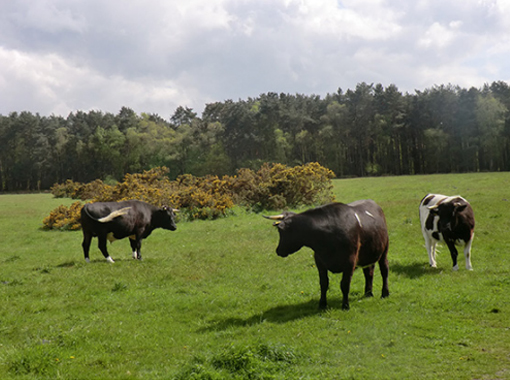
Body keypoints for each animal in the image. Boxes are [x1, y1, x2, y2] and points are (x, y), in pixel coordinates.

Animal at [262, 200, 390, 310]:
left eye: (281, 231)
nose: (278, 251)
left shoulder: (350, 261)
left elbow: (345, 284)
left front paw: (345, 305)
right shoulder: (319, 261)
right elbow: (323, 283)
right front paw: (322, 304)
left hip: (384, 250)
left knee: (384, 270)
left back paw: (385, 293)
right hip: (369, 253)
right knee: (369, 272)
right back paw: (368, 293)